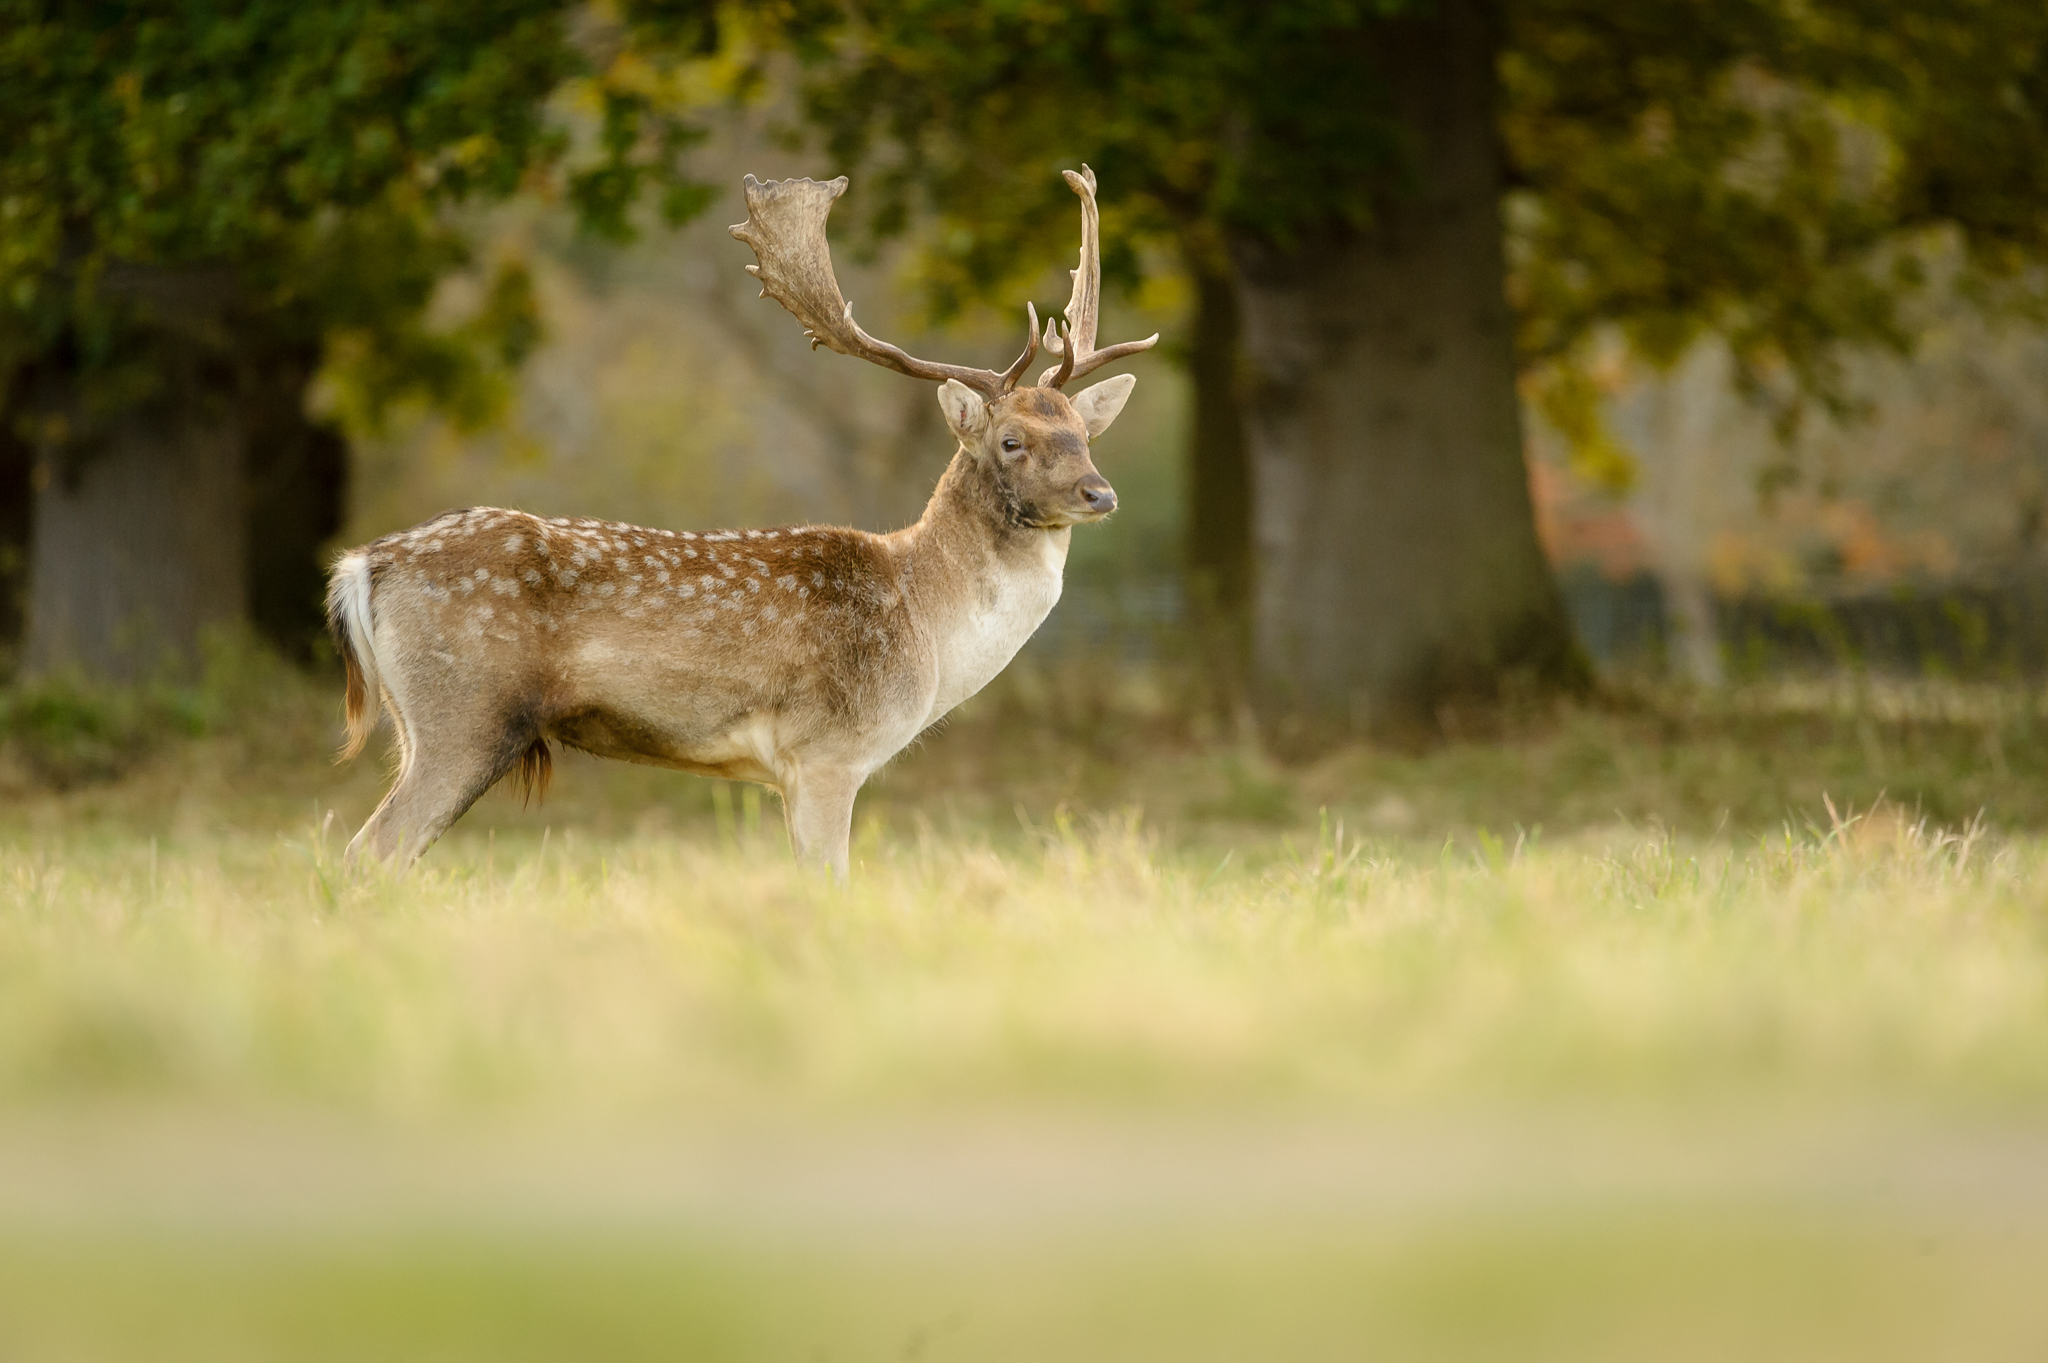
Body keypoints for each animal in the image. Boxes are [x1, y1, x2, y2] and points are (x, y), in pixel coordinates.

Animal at [325, 166, 1156, 876]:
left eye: (1083, 433)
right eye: (1011, 439)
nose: (1100, 493)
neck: (923, 622)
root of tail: (361, 567)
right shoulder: (828, 752)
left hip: (426, 724)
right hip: (461, 712)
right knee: (367, 853)